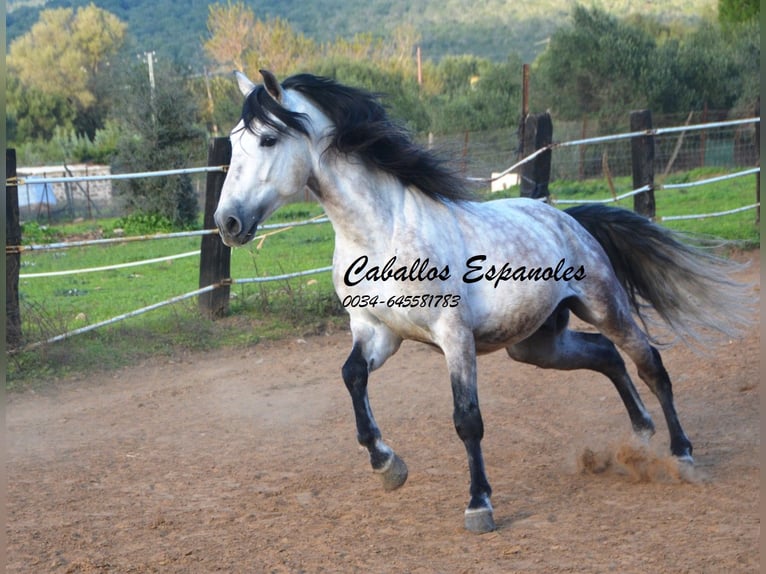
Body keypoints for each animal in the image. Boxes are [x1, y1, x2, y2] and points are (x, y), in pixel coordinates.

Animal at [213, 69, 750, 533]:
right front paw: (388, 466)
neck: (381, 233)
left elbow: (467, 419)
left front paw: (479, 506)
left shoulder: (454, 336)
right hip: (536, 345)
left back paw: (682, 455)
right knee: (605, 356)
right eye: (234, 143)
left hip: (604, 306)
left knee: (649, 363)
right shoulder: (377, 332)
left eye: (267, 140)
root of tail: (569, 219)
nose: (228, 223)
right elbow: (352, 377)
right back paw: (639, 437)